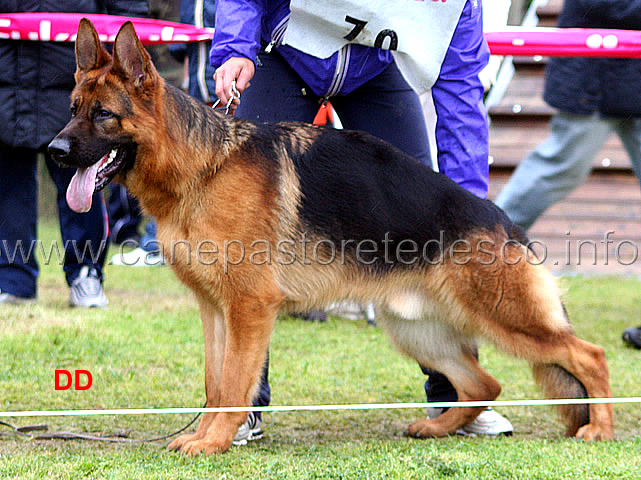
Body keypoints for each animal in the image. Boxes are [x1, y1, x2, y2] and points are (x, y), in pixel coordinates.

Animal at [47, 19, 612, 454]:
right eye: (73, 108)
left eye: (103, 115)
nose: (53, 151)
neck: (203, 167)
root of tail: (502, 219)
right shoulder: (214, 309)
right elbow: (215, 382)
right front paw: (206, 436)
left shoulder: (250, 308)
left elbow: (233, 383)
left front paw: (213, 443)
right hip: (414, 329)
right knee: (484, 381)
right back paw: (438, 427)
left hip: (508, 319)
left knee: (588, 355)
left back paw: (600, 429)